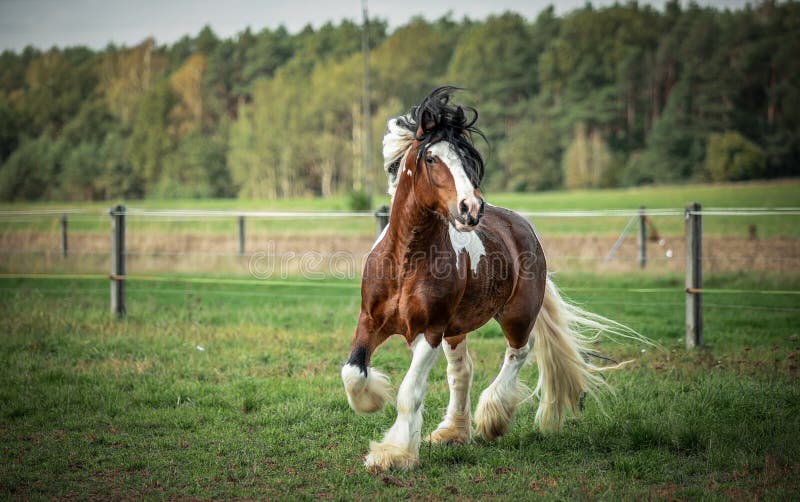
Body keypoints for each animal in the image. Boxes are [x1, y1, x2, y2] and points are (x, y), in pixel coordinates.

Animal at [342, 86, 636, 470]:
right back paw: (453, 432)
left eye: (468, 160)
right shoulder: (370, 321)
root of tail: (521, 225)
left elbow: (410, 391)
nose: (471, 208)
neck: (406, 262)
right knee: (462, 371)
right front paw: (374, 399)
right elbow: (353, 374)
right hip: (457, 330)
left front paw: (395, 453)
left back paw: (492, 418)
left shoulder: (431, 331)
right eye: (431, 158)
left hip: (516, 315)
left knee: (520, 352)